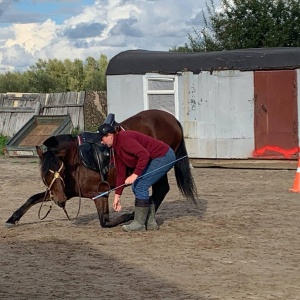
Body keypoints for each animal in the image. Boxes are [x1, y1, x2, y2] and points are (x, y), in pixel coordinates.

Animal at [5, 109, 198, 227]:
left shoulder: (100, 194)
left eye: (61, 169)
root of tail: (171, 119)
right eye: (45, 174)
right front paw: (12, 219)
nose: (60, 201)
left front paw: (128, 216)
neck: (76, 162)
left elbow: (105, 221)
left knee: (161, 190)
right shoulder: (64, 191)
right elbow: (33, 198)